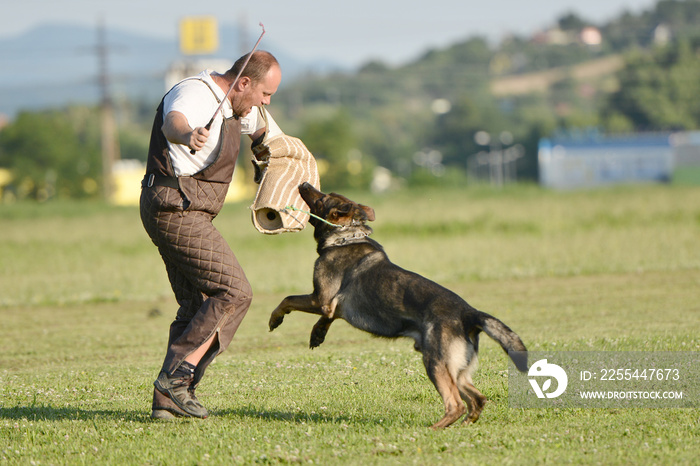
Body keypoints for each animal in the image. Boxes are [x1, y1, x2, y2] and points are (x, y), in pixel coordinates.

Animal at [270, 183, 528, 430]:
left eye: (322, 198)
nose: (304, 183)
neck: (346, 236)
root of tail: (469, 313)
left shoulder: (320, 299)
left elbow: (287, 299)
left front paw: (275, 318)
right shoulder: (331, 306)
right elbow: (325, 318)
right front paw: (317, 334)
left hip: (436, 363)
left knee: (456, 404)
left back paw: (433, 429)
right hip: (458, 371)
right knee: (478, 399)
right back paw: (463, 426)